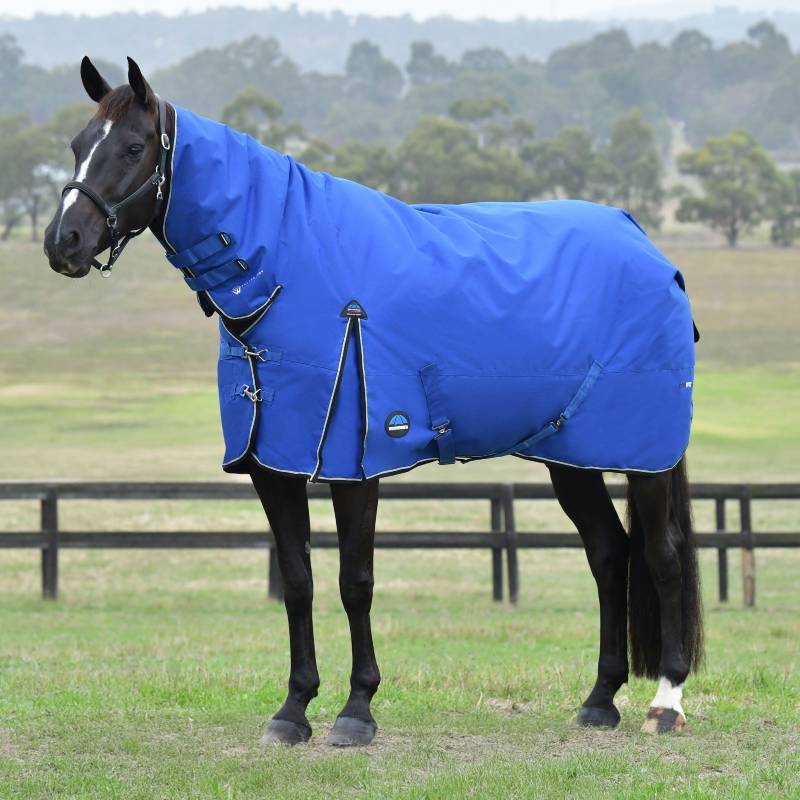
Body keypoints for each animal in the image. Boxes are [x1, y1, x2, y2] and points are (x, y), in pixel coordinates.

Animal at [43, 57, 704, 746]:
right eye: (77, 145)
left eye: (133, 147)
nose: (63, 242)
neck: (287, 271)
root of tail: (650, 251)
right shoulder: (272, 465)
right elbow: (299, 582)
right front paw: (293, 710)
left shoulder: (353, 464)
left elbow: (354, 581)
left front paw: (356, 710)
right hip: (571, 456)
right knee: (608, 554)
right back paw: (599, 700)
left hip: (644, 457)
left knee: (662, 556)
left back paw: (666, 702)